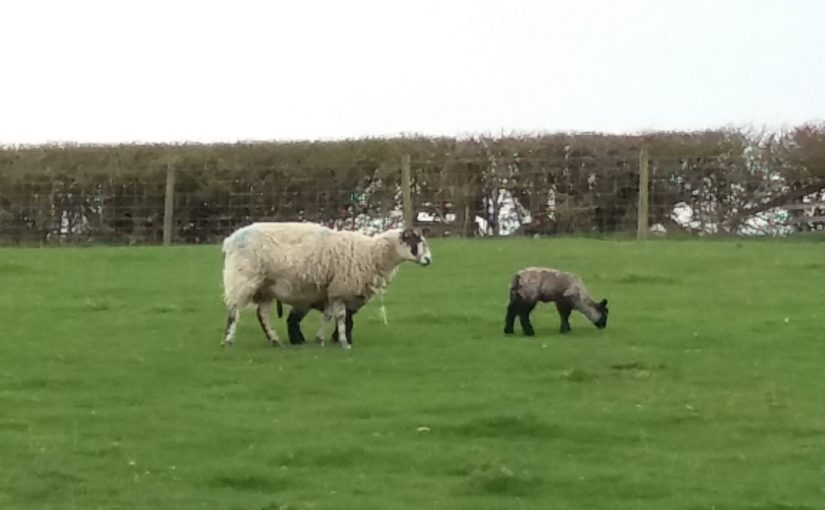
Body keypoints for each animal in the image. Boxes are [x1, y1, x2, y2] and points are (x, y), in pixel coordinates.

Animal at [221, 222, 432, 349]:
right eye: (415, 241)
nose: (429, 260)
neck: (372, 254)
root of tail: (230, 240)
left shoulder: (332, 291)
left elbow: (329, 315)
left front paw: (321, 338)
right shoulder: (340, 289)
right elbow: (340, 317)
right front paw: (344, 343)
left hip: (265, 287)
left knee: (262, 313)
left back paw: (275, 341)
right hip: (243, 279)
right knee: (235, 311)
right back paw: (229, 340)